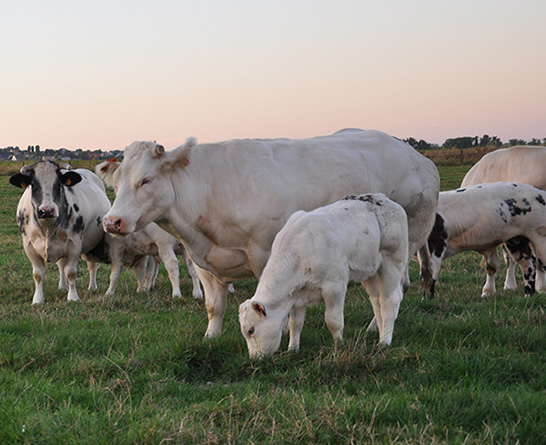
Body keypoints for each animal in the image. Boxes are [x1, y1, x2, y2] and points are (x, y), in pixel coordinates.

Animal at [9, 161, 110, 304]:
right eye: (33, 184)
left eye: (58, 184)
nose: (46, 210)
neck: (47, 228)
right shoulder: (29, 246)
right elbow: (38, 274)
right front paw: (37, 299)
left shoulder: (74, 245)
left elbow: (71, 272)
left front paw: (73, 297)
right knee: (61, 264)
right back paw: (62, 286)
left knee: (92, 266)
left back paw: (92, 287)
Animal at [102, 130, 440, 338]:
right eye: (116, 182)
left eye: (146, 180)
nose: (112, 221)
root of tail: (418, 157)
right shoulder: (203, 260)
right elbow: (214, 305)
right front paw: (211, 336)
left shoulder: (267, 255)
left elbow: (278, 303)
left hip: (402, 246)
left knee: (392, 290)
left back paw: (376, 327)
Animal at [238, 194, 408, 358]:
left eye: (250, 330)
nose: (254, 358)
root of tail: (385, 199)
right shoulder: (296, 295)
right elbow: (295, 323)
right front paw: (293, 349)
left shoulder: (335, 286)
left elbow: (333, 321)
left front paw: (339, 345)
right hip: (370, 271)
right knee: (376, 300)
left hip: (393, 260)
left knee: (390, 300)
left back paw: (385, 341)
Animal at [416, 180, 544, 298]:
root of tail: (539, 192)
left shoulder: (435, 245)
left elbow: (428, 276)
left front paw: (427, 299)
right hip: (515, 239)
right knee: (528, 262)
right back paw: (528, 295)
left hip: (539, 234)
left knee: (540, 262)